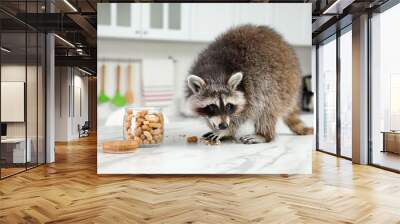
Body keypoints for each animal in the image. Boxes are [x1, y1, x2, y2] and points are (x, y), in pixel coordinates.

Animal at [186, 24, 314, 144]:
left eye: (229, 106)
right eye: (212, 106)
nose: (223, 125)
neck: (216, 75)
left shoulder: (251, 88)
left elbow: (245, 112)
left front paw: (227, 131)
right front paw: (217, 127)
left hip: (282, 84)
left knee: (267, 107)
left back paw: (264, 135)